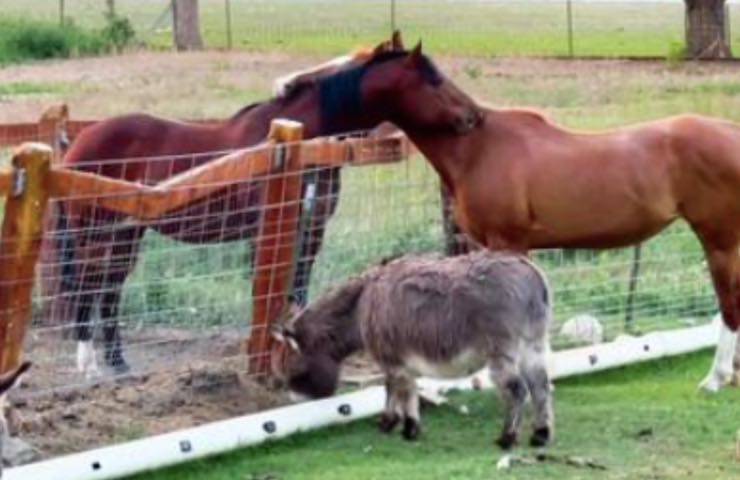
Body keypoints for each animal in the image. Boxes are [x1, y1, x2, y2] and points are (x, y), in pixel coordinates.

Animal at [56, 36, 404, 379]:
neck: (304, 142)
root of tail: (77, 144)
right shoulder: (267, 233)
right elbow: (268, 291)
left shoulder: (312, 231)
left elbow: (299, 290)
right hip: (96, 237)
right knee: (88, 286)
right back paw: (90, 364)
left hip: (126, 236)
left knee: (110, 290)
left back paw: (118, 363)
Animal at [295, 41, 740, 392]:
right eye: (433, 79)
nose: (469, 117)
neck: (477, 148)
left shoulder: (507, 244)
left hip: (719, 240)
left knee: (728, 303)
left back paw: (716, 378)